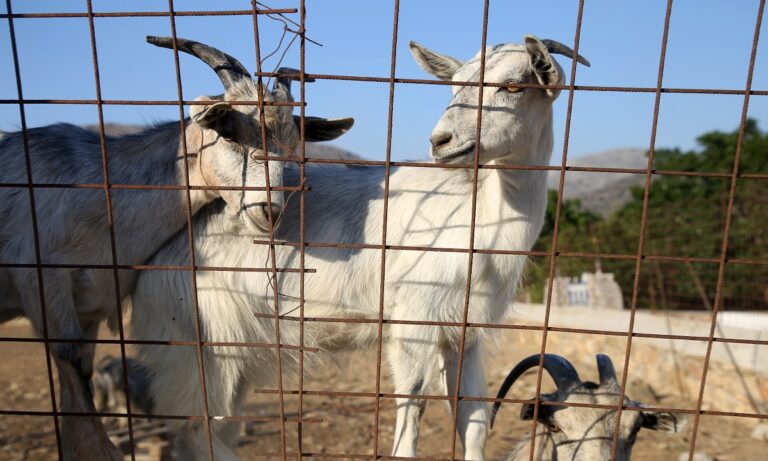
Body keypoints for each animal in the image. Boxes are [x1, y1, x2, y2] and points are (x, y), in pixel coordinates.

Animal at [0, 36, 352, 460]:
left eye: (290, 146)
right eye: (228, 134)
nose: (270, 211)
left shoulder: (91, 304)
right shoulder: (42, 281)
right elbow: (73, 367)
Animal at [130, 36, 588, 460]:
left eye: (513, 85)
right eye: (455, 84)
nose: (441, 141)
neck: (476, 218)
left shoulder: (465, 333)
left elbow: (472, 420)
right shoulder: (413, 319)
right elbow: (411, 414)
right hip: (195, 351)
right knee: (194, 432)